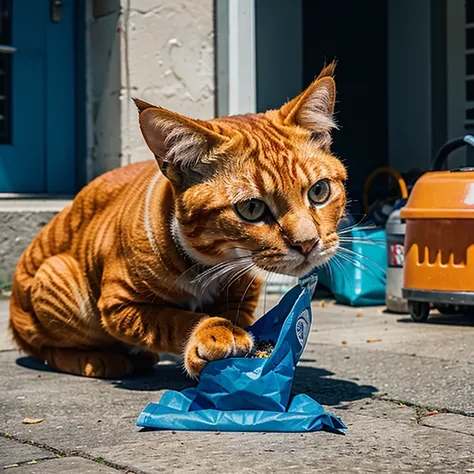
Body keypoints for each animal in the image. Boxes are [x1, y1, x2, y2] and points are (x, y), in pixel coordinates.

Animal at [9, 64, 346, 378]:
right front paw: (214, 332)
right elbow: (172, 319)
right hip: (57, 278)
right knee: (46, 349)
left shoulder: (245, 289)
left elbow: (232, 314)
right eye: (251, 208)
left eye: (319, 191)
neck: (209, 263)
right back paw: (97, 360)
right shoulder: (119, 303)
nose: (308, 243)